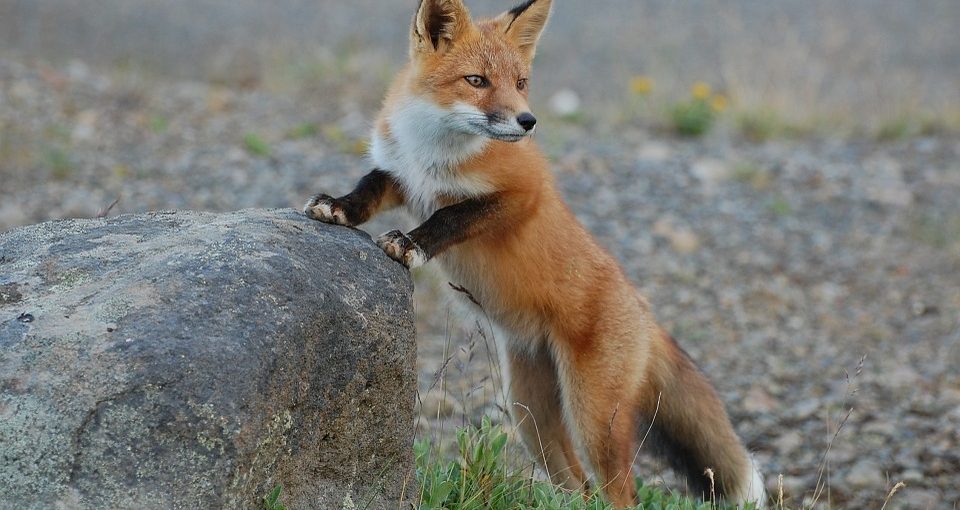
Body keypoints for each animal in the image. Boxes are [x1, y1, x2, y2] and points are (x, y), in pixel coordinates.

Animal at [304, 0, 768, 506]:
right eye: (477, 80)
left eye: (521, 82)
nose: (528, 121)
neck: (433, 153)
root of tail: (644, 313)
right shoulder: (400, 174)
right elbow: (367, 189)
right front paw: (338, 207)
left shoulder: (522, 194)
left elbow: (451, 217)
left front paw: (412, 244)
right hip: (530, 415)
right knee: (579, 487)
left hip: (594, 420)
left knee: (618, 492)